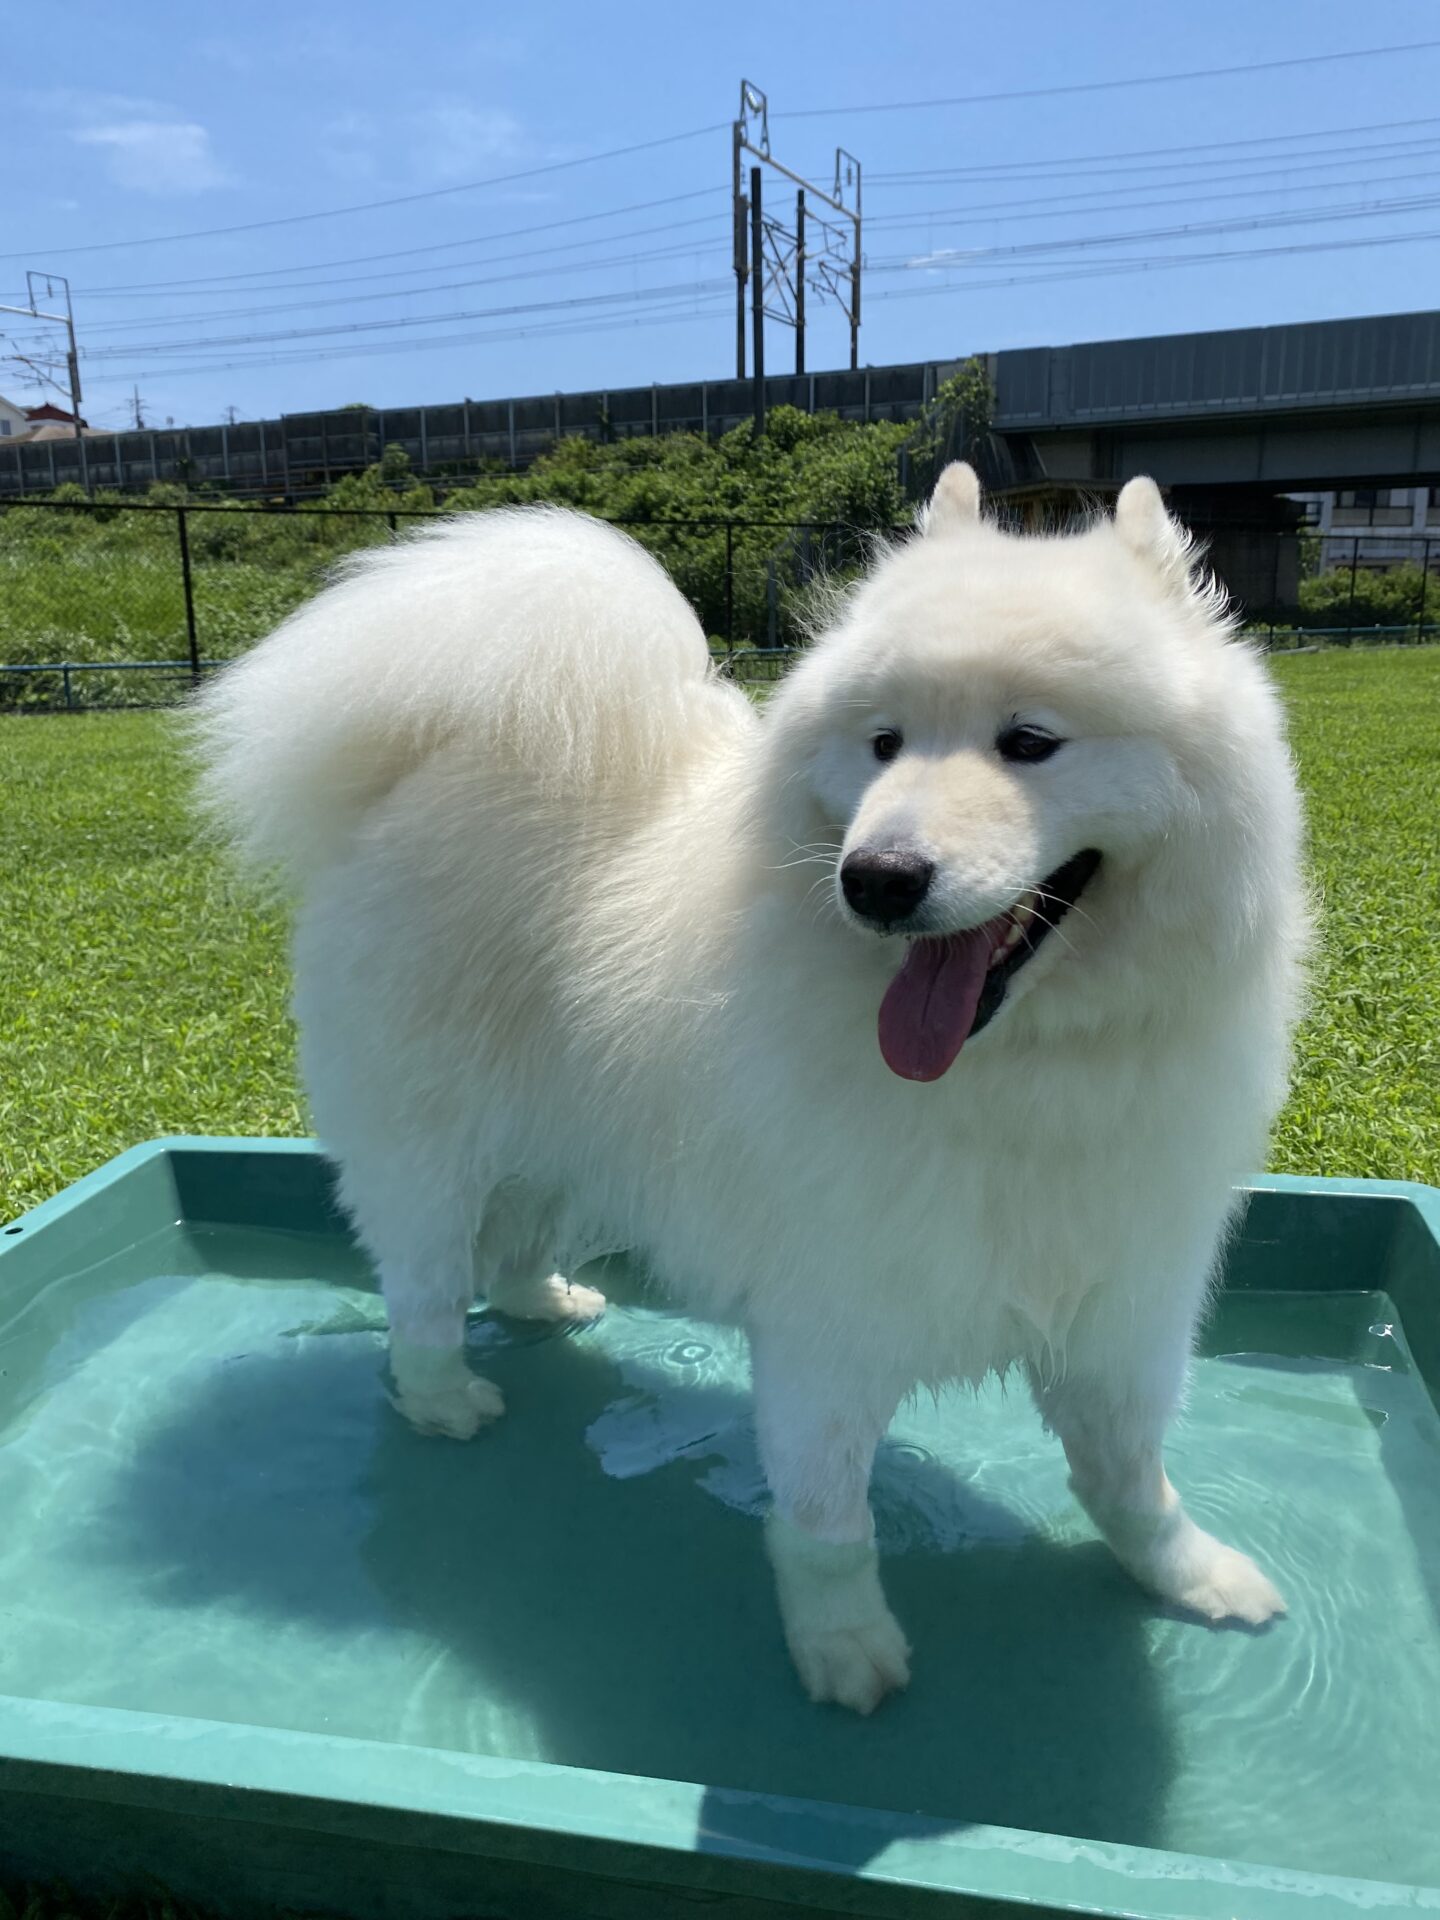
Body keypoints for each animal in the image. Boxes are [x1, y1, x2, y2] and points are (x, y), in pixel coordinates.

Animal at [196, 464, 1306, 1713]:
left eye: (1031, 742)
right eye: (883, 744)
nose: (877, 879)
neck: (1024, 1065)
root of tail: (433, 763)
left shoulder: (1123, 1303)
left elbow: (1130, 1479)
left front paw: (1190, 1576)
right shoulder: (831, 1319)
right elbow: (828, 1525)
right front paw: (844, 1649)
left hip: (562, 1137)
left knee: (514, 1242)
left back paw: (549, 1305)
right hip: (434, 1151)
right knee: (424, 1292)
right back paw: (443, 1402)